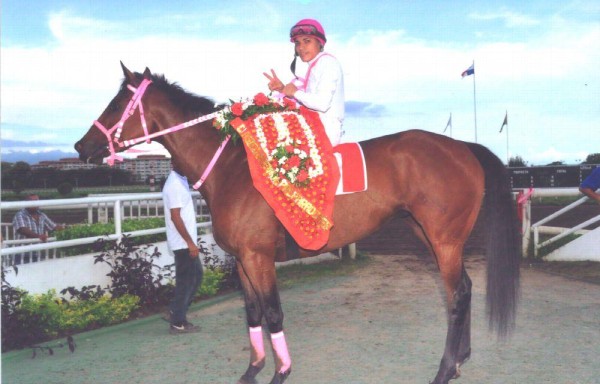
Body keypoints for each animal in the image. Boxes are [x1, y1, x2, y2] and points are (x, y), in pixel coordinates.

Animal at [74, 63, 520, 384]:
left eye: (116, 103)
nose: (80, 146)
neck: (232, 167)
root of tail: (462, 147)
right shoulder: (242, 261)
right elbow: (252, 313)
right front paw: (253, 370)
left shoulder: (259, 258)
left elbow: (273, 314)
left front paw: (280, 372)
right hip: (430, 236)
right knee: (463, 289)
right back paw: (459, 360)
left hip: (444, 240)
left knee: (457, 295)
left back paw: (444, 369)